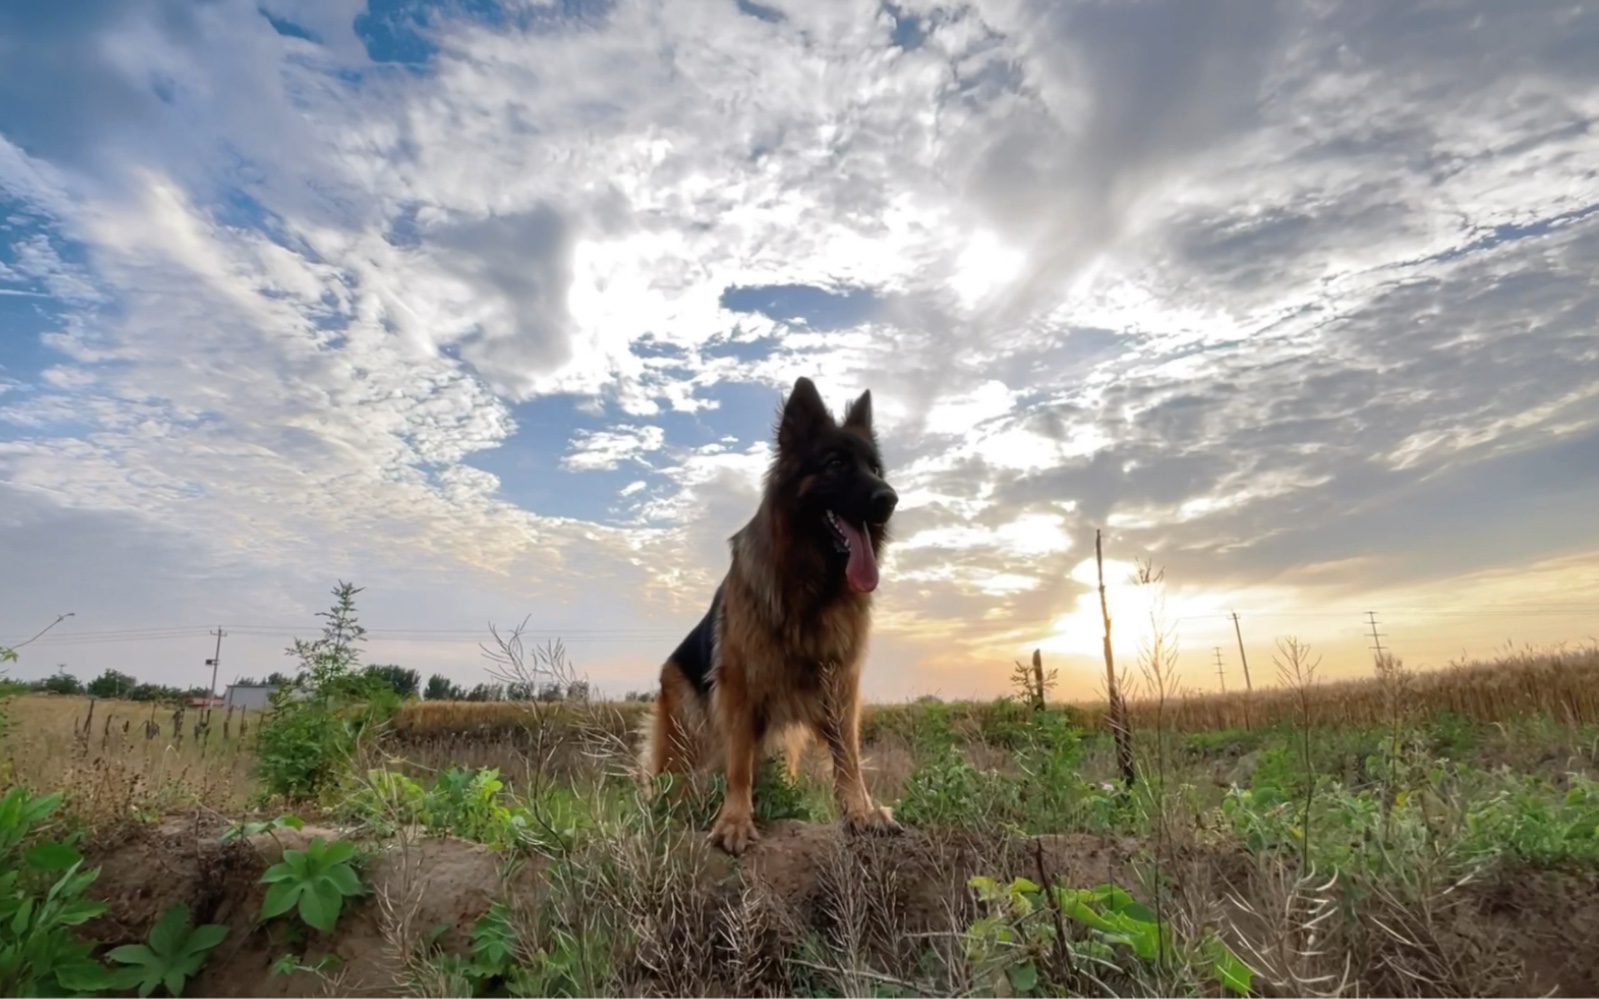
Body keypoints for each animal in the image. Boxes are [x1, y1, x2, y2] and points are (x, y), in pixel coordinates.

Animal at [642, 377, 908, 850]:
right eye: (835, 463)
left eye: (876, 469)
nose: (890, 499)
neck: (811, 586)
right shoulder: (738, 685)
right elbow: (739, 763)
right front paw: (734, 820)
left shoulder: (841, 683)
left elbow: (849, 755)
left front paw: (861, 811)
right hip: (686, 724)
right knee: (677, 778)